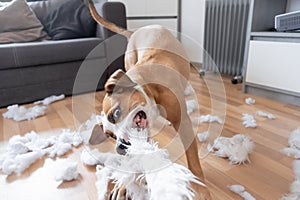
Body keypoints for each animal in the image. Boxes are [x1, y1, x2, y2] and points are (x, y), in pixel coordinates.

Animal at [87, 1, 211, 198]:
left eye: (116, 113)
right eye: (111, 136)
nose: (120, 147)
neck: (148, 86)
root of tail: (136, 31)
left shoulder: (183, 122)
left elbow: (193, 161)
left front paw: (201, 189)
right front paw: (124, 186)